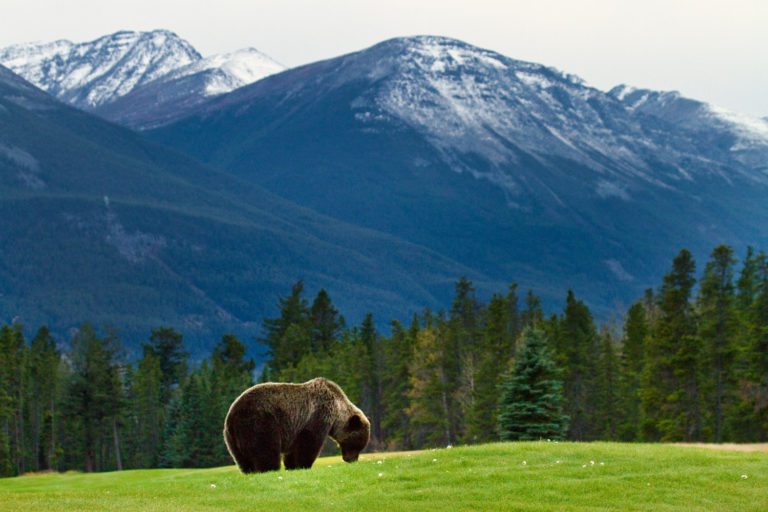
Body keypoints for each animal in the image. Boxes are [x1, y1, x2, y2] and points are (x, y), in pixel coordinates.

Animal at [222, 376, 368, 472]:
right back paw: (270, 469)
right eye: (356, 444)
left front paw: (291, 466)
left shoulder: (295, 428)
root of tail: (232, 415)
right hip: (260, 424)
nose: (351, 459)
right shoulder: (317, 415)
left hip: (232, 438)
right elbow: (309, 443)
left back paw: (250, 471)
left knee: (242, 459)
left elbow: (293, 449)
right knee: (266, 449)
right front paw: (304, 465)